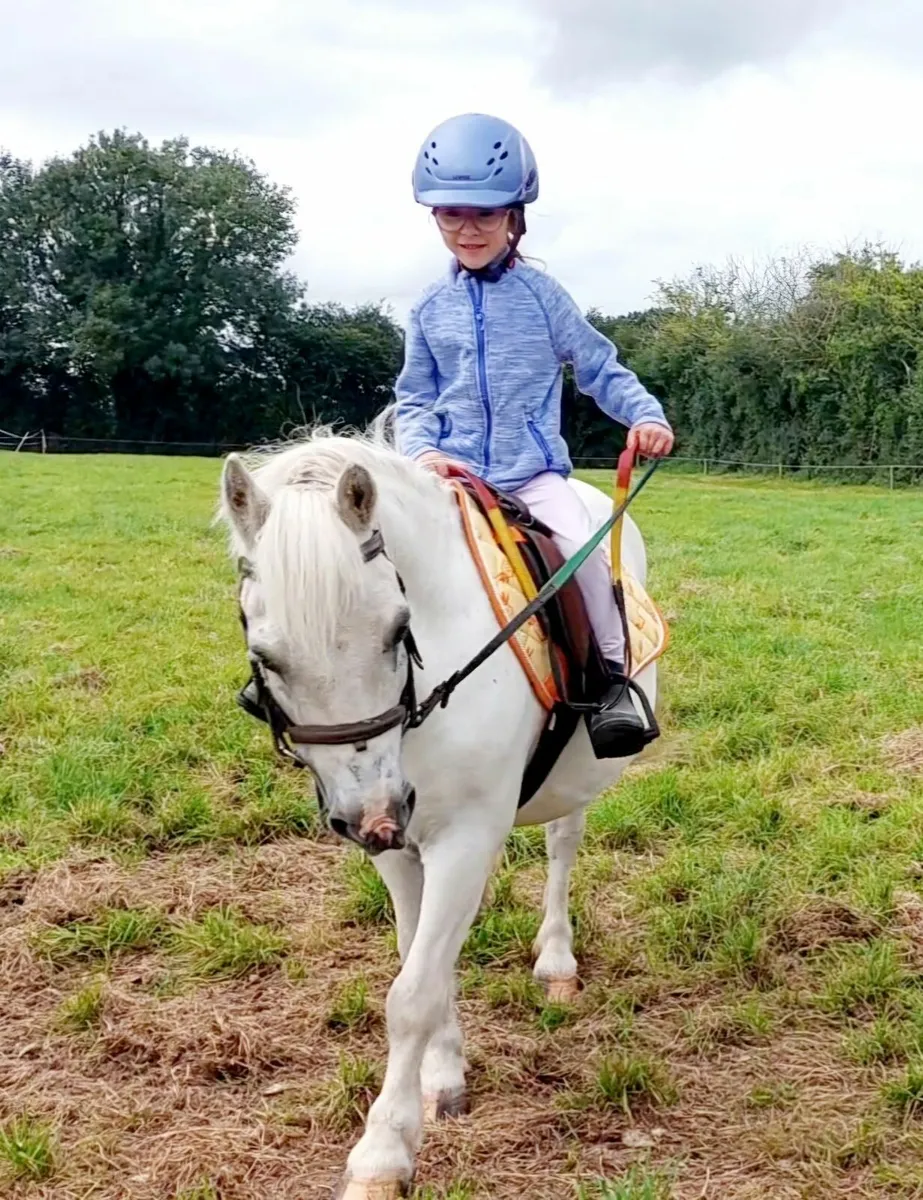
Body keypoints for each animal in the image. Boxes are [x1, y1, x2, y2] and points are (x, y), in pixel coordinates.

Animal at [217, 424, 658, 1199]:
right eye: (265, 657)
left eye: (399, 630)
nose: (371, 813)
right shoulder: (398, 845)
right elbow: (420, 959)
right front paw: (444, 1073)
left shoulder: (465, 837)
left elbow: (412, 994)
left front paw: (383, 1153)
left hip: (575, 778)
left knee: (561, 846)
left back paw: (556, 959)